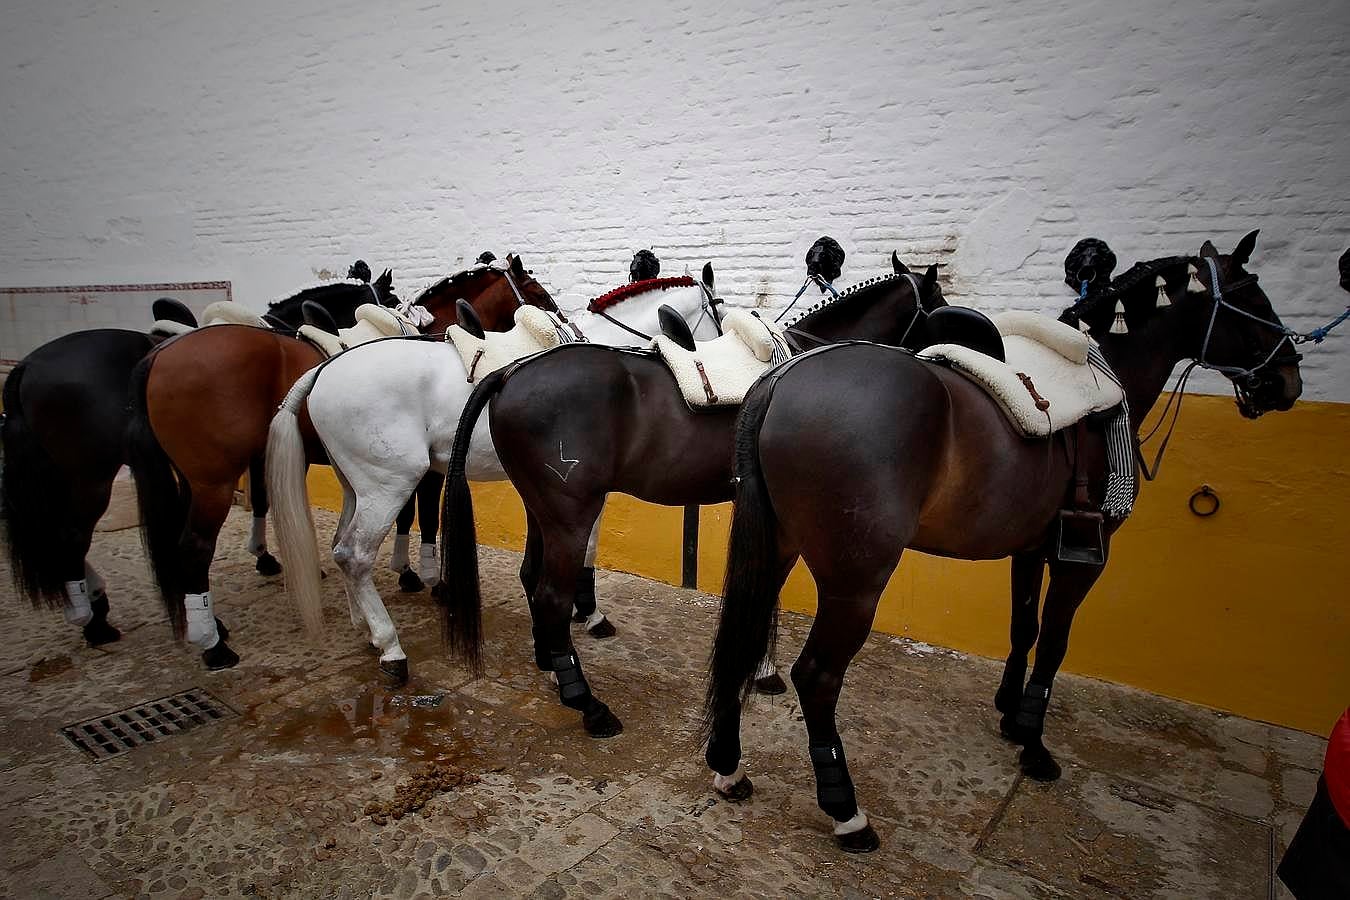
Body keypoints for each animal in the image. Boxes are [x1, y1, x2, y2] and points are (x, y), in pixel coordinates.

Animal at [0, 267, 396, 639]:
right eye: (390, 296)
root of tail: (27, 365)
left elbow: (263, 498)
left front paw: (267, 556)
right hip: (109, 476)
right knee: (92, 536)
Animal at [121, 253, 553, 669]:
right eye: (537, 292)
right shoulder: (429, 473)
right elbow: (425, 517)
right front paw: (430, 580)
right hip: (254, 482)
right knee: (333, 553)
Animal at [267, 267, 723, 682]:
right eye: (717, 312)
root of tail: (324, 371)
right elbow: (588, 548)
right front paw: (589, 615)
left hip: (355, 485)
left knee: (339, 545)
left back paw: (365, 627)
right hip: (388, 486)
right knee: (355, 555)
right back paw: (391, 646)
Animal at [442, 260, 950, 739]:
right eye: (940, 305)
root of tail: (509, 373)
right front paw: (762, 670)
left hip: (544, 511)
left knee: (532, 577)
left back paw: (551, 663)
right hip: (570, 518)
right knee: (551, 595)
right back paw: (587, 703)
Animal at [702, 232, 1301, 852]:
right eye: (1252, 300)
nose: (1287, 380)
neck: (1106, 376)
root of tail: (781, 380)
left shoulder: (1032, 547)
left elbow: (1024, 627)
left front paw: (1012, 715)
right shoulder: (1085, 554)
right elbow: (1056, 643)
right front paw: (1035, 745)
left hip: (778, 547)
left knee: (743, 641)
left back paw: (729, 766)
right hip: (856, 580)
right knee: (817, 676)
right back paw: (846, 810)